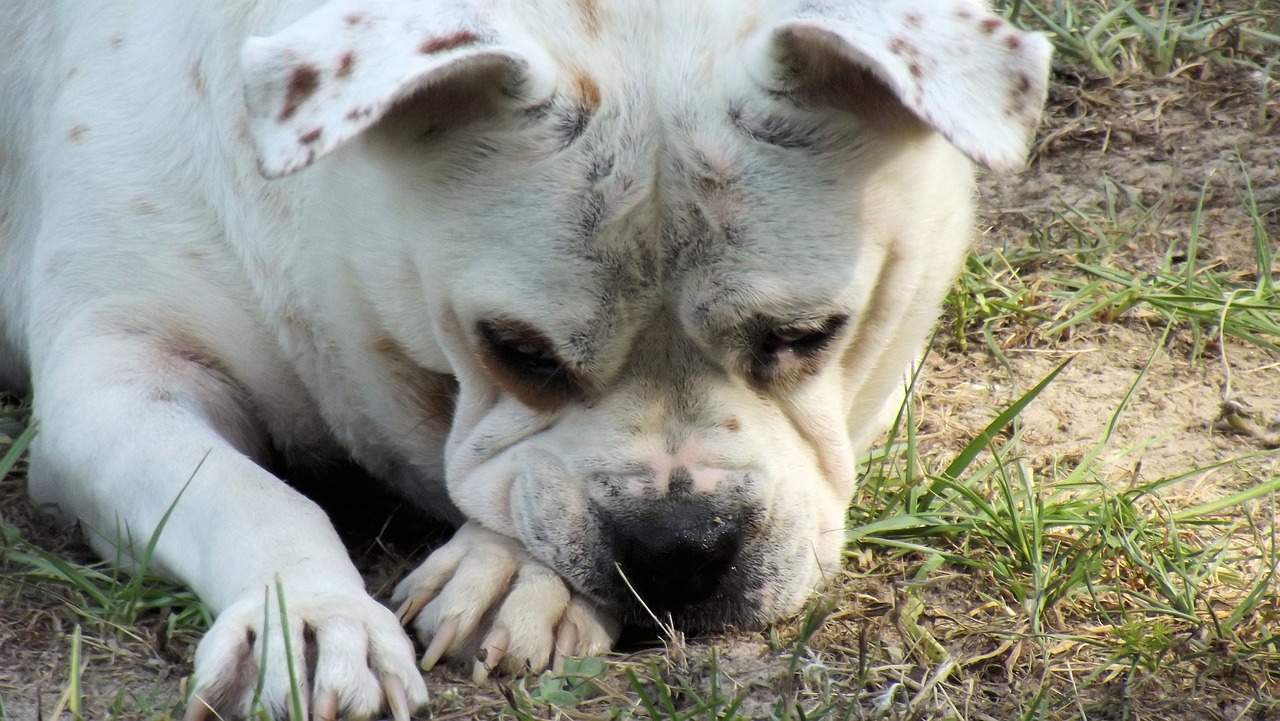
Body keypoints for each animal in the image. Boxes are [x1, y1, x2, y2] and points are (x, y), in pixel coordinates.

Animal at [0, 1, 1049, 717]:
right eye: (517, 351)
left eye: (809, 336)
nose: (679, 541)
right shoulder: (119, 377)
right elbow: (252, 494)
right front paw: (315, 622)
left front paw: (511, 572)